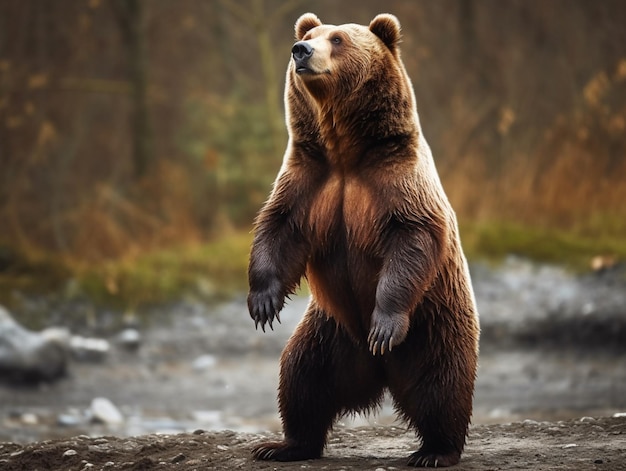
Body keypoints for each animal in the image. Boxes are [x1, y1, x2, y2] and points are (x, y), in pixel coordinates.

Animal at [247, 11, 478, 468]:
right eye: (310, 34)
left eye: (337, 39)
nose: (300, 50)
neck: (344, 152)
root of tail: (379, 372)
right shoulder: (308, 177)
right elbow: (279, 226)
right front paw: (263, 302)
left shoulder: (396, 180)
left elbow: (412, 238)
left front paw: (385, 323)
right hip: (329, 333)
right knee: (301, 380)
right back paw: (283, 445)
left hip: (435, 324)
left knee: (442, 385)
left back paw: (435, 450)